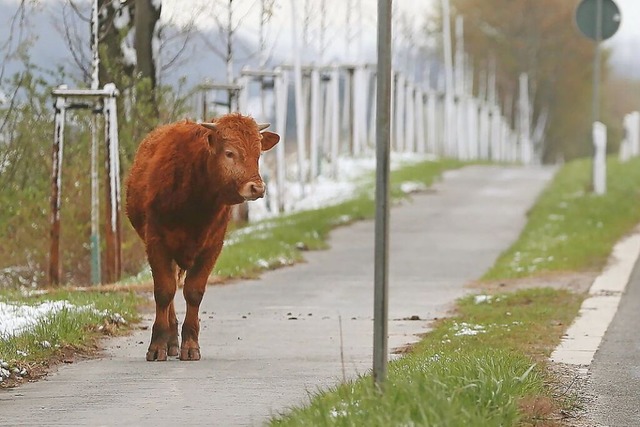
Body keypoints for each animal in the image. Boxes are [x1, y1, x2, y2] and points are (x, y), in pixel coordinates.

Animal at [126, 113, 278, 362]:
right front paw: (157, 346)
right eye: (229, 153)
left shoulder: (212, 246)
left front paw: (190, 345)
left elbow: (194, 292)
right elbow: (163, 292)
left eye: (258, 154)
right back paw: (169, 339)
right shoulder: (156, 242)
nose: (257, 188)